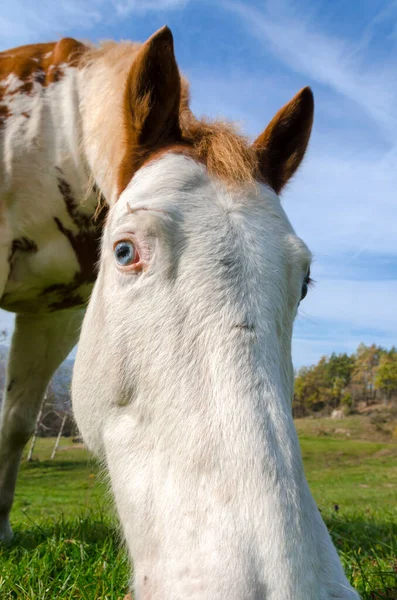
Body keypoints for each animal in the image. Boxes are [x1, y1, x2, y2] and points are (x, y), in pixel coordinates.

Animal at [0, 25, 358, 596]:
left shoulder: (55, 313)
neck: (49, 135)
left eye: (303, 283)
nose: (285, 585)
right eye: (124, 252)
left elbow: (16, 422)